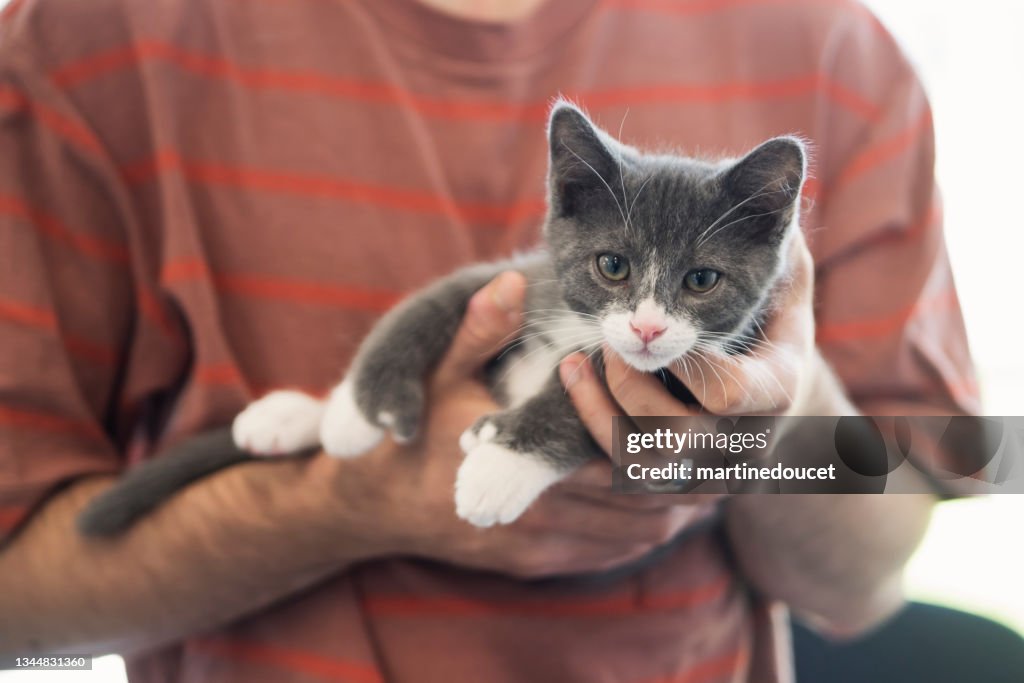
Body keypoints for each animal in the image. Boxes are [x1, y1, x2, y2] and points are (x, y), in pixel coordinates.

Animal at [75, 102, 802, 540]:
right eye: (612, 266)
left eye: (701, 280)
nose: (648, 330)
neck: (581, 326)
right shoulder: (519, 277)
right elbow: (427, 302)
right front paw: (362, 405)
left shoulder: (700, 370)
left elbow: (588, 385)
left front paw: (500, 461)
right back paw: (297, 415)